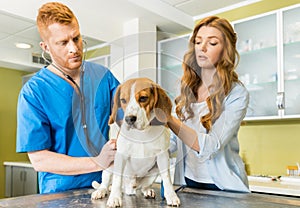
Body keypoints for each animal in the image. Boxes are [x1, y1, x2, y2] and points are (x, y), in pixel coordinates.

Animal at [91, 77, 180, 206]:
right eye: (123, 100)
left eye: (143, 98)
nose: (129, 119)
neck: (142, 133)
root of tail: (129, 188)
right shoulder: (120, 155)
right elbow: (117, 180)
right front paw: (114, 197)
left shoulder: (163, 156)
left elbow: (167, 178)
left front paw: (171, 196)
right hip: (110, 165)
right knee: (106, 182)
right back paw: (101, 191)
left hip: (155, 171)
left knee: (144, 187)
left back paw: (147, 190)